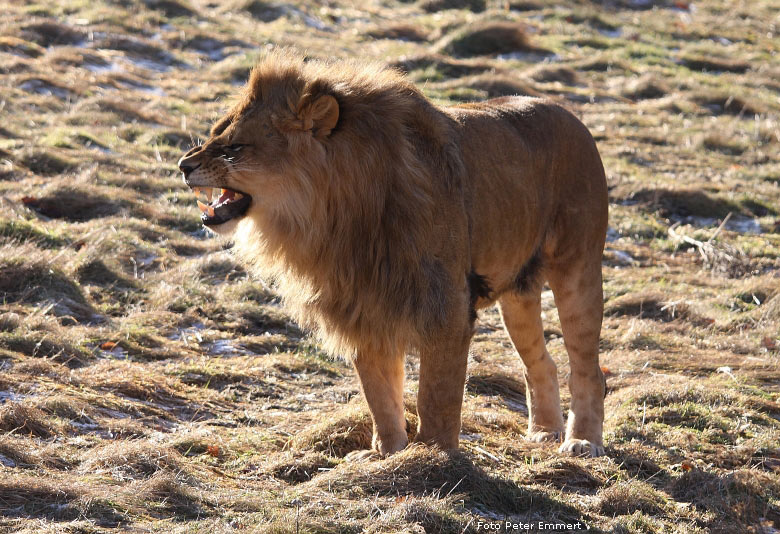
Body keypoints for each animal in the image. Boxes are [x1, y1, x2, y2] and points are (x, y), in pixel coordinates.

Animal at [177, 51, 608, 460]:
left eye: (235, 148)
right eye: (215, 134)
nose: (183, 164)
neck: (333, 220)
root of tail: (570, 115)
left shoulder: (445, 306)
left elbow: (436, 396)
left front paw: (433, 456)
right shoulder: (362, 308)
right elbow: (380, 395)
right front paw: (385, 454)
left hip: (578, 272)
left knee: (587, 368)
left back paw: (582, 442)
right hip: (517, 295)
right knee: (542, 362)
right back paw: (543, 433)